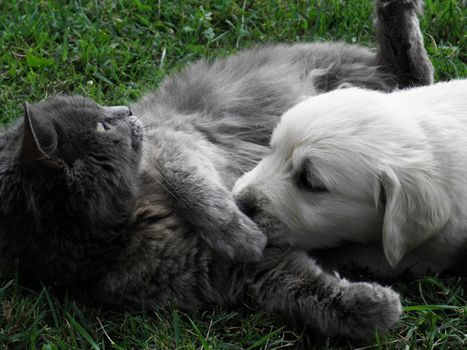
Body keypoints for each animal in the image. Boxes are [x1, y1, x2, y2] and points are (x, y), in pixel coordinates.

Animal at [0, 0, 436, 340]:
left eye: (105, 115)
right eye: (101, 127)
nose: (127, 110)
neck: (125, 226)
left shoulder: (175, 143)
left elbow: (192, 188)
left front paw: (239, 232)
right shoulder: (234, 273)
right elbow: (305, 291)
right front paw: (374, 307)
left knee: (413, 70)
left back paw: (396, 9)